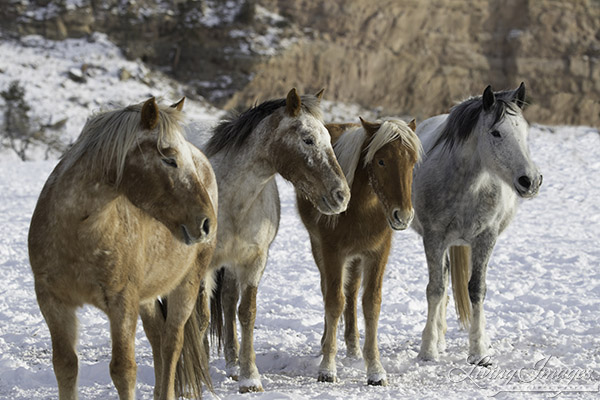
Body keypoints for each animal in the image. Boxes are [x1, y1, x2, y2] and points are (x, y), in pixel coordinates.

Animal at [28, 97, 219, 400]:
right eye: (169, 159)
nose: (206, 223)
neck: (79, 233)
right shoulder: (52, 301)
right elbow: (65, 365)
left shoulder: (121, 302)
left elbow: (123, 370)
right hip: (147, 296)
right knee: (157, 337)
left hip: (186, 285)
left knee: (171, 343)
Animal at [195, 88, 350, 394]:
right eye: (308, 139)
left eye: (329, 139)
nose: (341, 195)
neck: (231, 201)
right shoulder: (204, 266)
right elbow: (203, 317)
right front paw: (202, 378)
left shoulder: (254, 261)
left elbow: (246, 313)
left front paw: (249, 378)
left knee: (228, 303)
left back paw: (232, 366)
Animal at [296, 117, 422, 386]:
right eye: (381, 161)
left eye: (412, 161)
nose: (403, 216)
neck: (362, 209)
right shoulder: (332, 252)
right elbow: (334, 302)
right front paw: (327, 368)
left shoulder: (377, 254)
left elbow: (370, 303)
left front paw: (375, 369)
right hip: (320, 249)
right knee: (330, 290)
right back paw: (327, 342)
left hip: (355, 258)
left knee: (352, 292)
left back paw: (353, 347)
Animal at [412, 83, 544, 366]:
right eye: (496, 132)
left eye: (525, 131)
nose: (530, 180)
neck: (468, 185)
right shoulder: (434, 238)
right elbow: (435, 289)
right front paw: (427, 350)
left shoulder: (486, 238)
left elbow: (477, 289)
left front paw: (479, 352)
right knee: (443, 280)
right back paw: (439, 341)